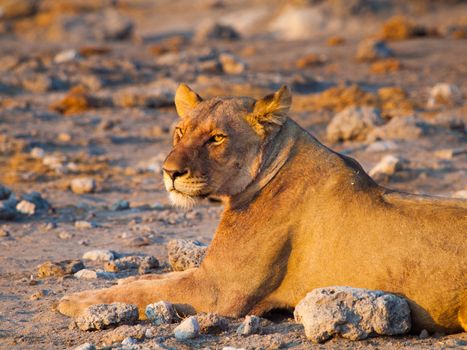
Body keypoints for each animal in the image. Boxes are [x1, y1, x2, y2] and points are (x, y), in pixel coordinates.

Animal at [58, 83, 467, 332]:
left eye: (216, 138)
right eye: (180, 131)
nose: (169, 172)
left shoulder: (218, 290)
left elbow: (143, 293)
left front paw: (74, 301)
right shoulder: (207, 274)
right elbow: (146, 282)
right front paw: (112, 285)